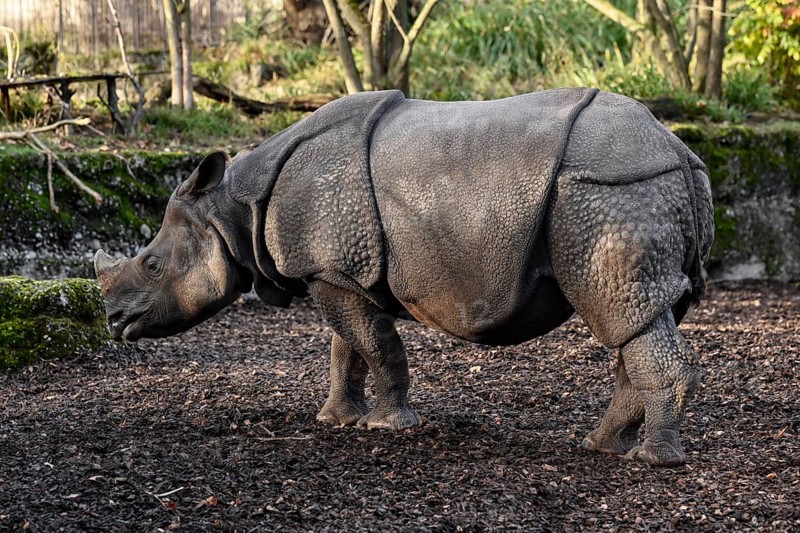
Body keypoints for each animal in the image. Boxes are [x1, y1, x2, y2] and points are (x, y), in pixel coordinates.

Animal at [95, 88, 714, 467]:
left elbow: (375, 344)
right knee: (642, 320)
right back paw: (601, 446)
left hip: (608, 191)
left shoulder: (331, 268)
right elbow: (346, 346)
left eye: (152, 265)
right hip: (629, 188)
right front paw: (336, 419)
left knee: (621, 312)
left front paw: (389, 426)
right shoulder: (334, 270)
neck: (231, 208)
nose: (112, 319)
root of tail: (681, 150)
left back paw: (650, 460)